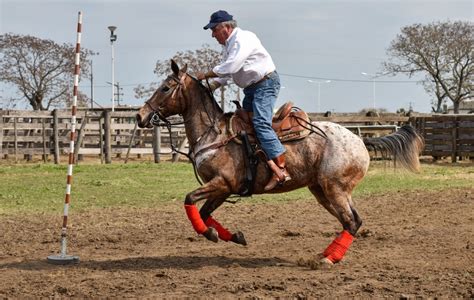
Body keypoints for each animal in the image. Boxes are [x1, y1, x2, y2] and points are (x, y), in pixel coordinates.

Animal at [135, 60, 424, 264]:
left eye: (165, 88)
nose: (140, 116)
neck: (214, 134)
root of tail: (360, 140)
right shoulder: (224, 189)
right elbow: (205, 213)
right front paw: (233, 236)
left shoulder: (222, 183)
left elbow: (189, 201)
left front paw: (210, 234)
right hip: (324, 191)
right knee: (353, 221)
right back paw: (325, 254)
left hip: (335, 189)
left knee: (351, 222)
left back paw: (328, 259)